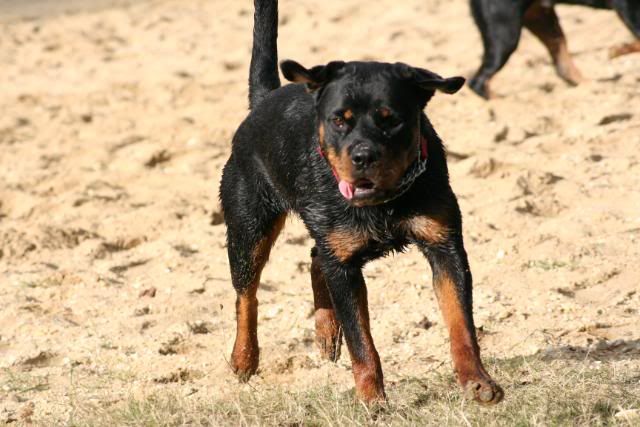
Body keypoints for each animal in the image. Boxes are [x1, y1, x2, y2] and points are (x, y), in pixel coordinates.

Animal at [220, 0, 504, 406]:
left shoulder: (445, 244)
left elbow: (460, 323)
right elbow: (362, 342)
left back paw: (325, 331)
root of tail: (262, 101)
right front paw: (373, 400)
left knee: (316, 258)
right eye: (340, 120)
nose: (363, 155)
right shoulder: (345, 268)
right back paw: (244, 357)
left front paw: (476, 380)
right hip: (248, 226)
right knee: (247, 294)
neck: (383, 202)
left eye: (391, 120)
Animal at [468, 0, 640, 98]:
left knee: (563, 67)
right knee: (479, 82)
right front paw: (618, 50)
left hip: (544, 22)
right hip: (505, 33)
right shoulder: (628, 7)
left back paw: (592, 88)